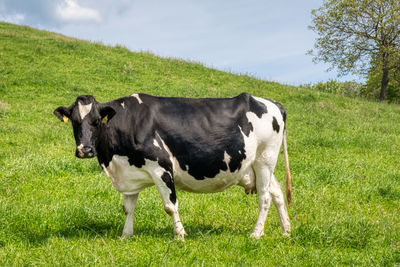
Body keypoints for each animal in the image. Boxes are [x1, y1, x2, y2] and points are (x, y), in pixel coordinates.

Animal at [53, 92, 290, 241]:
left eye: (96, 121)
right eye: (75, 121)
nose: (85, 150)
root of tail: (273, 103)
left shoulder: (161, 167)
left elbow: (170, 206)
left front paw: (180, 235)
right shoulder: (129, 174)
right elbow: (128, 208)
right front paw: (125, 235)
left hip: (265, 159)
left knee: (265, 197)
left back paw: (256, 234)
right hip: (258, 165)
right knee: (277, 192)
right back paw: (286, 231)